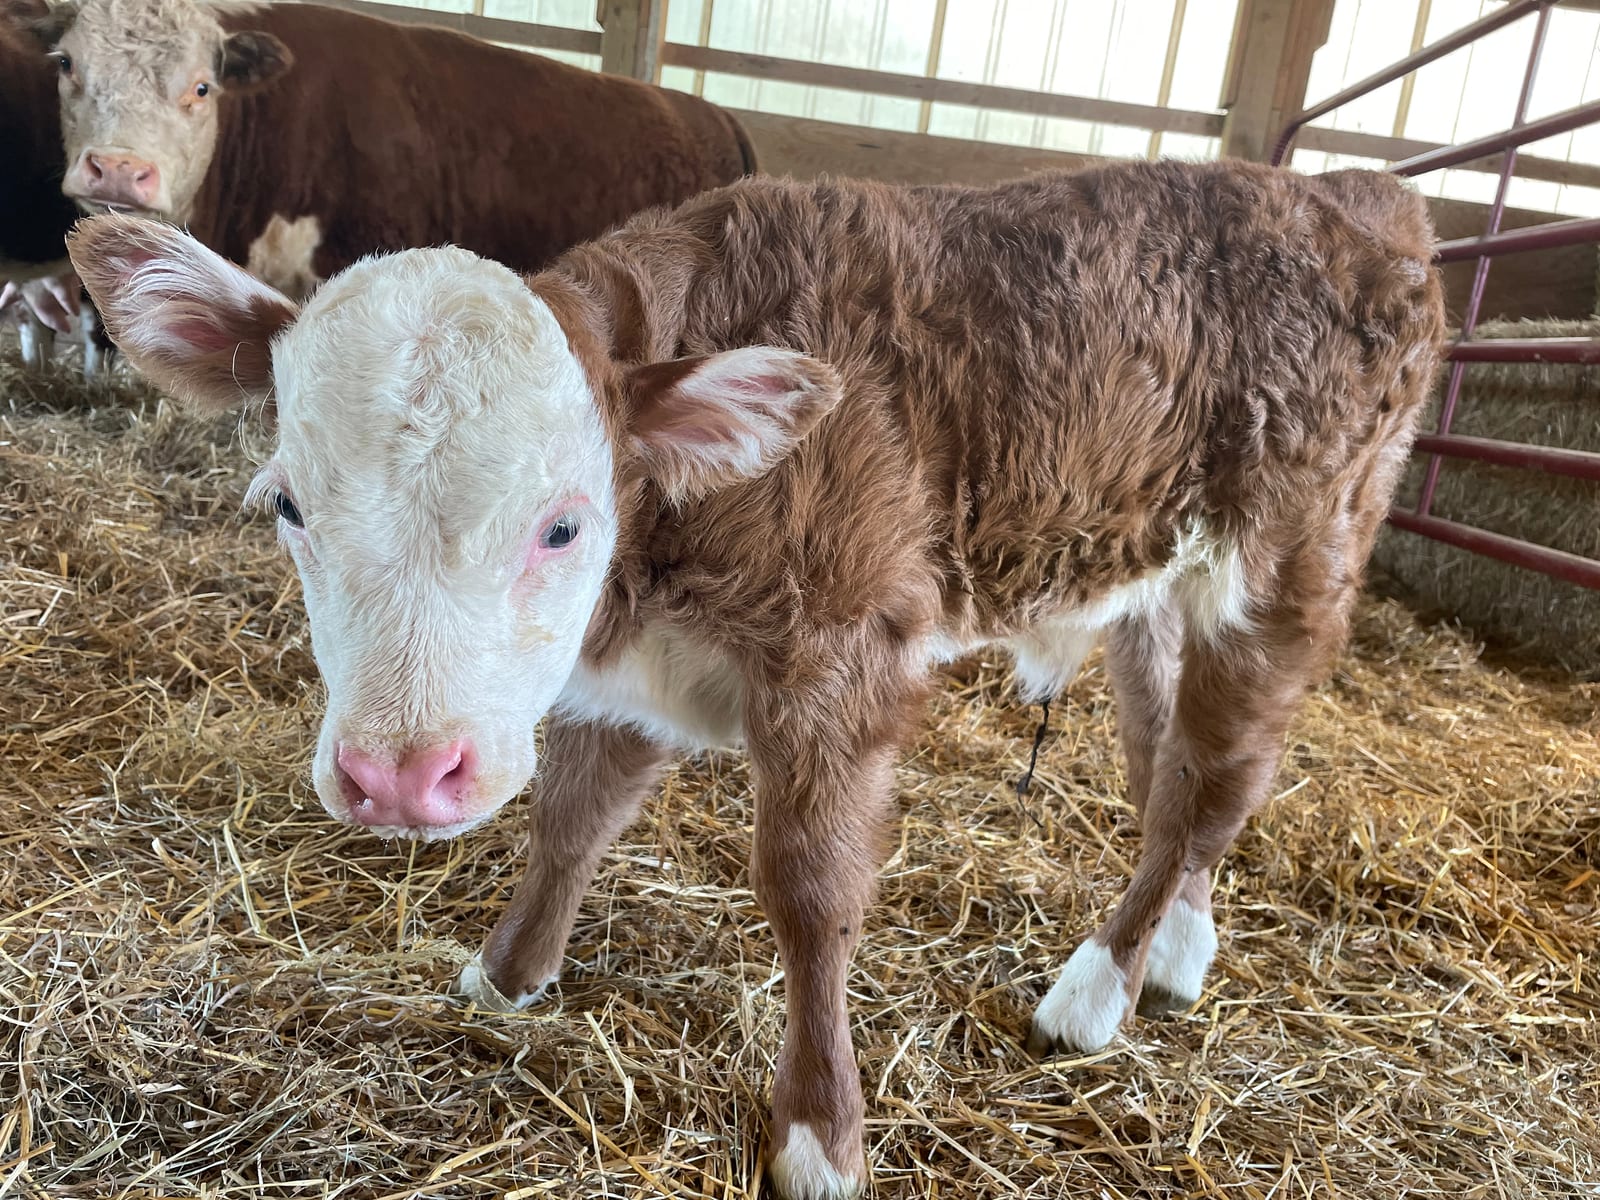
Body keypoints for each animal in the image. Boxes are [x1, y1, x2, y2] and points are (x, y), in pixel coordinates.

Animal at [68, 159, 1446, 1200]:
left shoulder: (841, 661)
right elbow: (573, 819)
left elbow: (809, 891)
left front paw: (819, 1132)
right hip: (1155, 590)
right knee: (1180, 769)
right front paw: (509, 972)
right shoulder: (626, 678)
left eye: (563, 525)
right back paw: (1175, 944)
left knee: (1212, 773)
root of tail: (1361, 195)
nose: (401, 776)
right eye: (287, 505)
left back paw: (1097, 986)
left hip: (1291, 560)